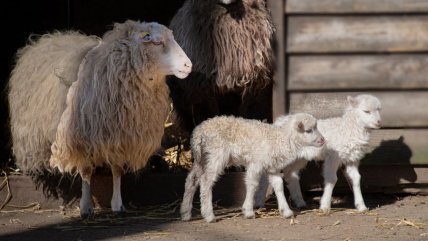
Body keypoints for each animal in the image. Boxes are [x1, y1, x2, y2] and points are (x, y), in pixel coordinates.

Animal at [8, 20, 192, 217]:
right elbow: (86, 170)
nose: (188, 65)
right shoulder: (81, 138)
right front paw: (85, 206)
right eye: (157, 42)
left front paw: (117, 204)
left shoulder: (120, 137)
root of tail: (46, 38)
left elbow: (117, 170)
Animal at [180, 113, 324, 222]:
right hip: (216, 154)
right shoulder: (256, 163)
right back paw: (209, 215)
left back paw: (185, 213)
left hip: (201, 157)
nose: (322, 140)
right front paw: (248, 210)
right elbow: (252, 185)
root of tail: (199, 131)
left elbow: (278, 185)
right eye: (308, 130)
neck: (280, 139)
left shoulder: (272, 166)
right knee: (206, 181)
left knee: (191, 180)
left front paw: (286, 211)